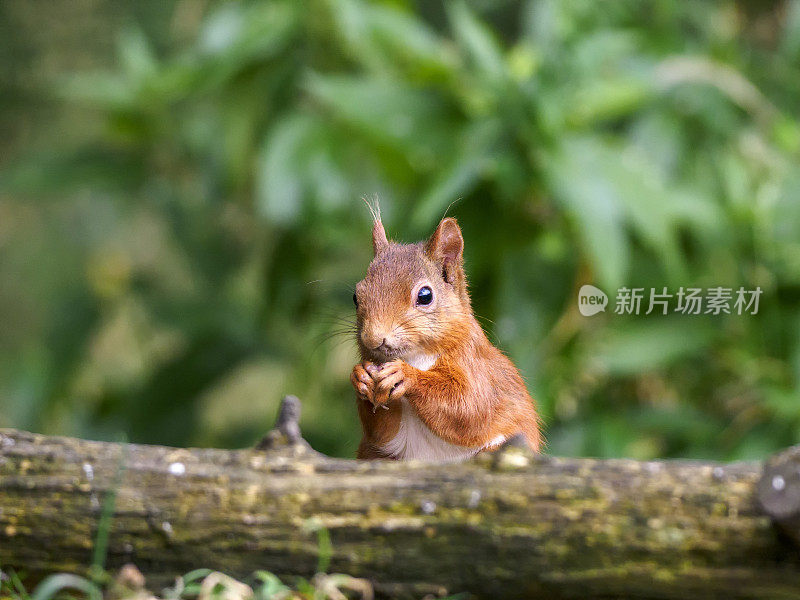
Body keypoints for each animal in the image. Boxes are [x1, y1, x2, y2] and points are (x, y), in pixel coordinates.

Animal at [352, 211, 544, 460]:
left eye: (425, 296)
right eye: (356, 297)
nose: (373, 338)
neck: (415, 357)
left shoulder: (475, 366)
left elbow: (468, 408)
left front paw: (406, 375)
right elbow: (382, 431)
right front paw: (360, 376)